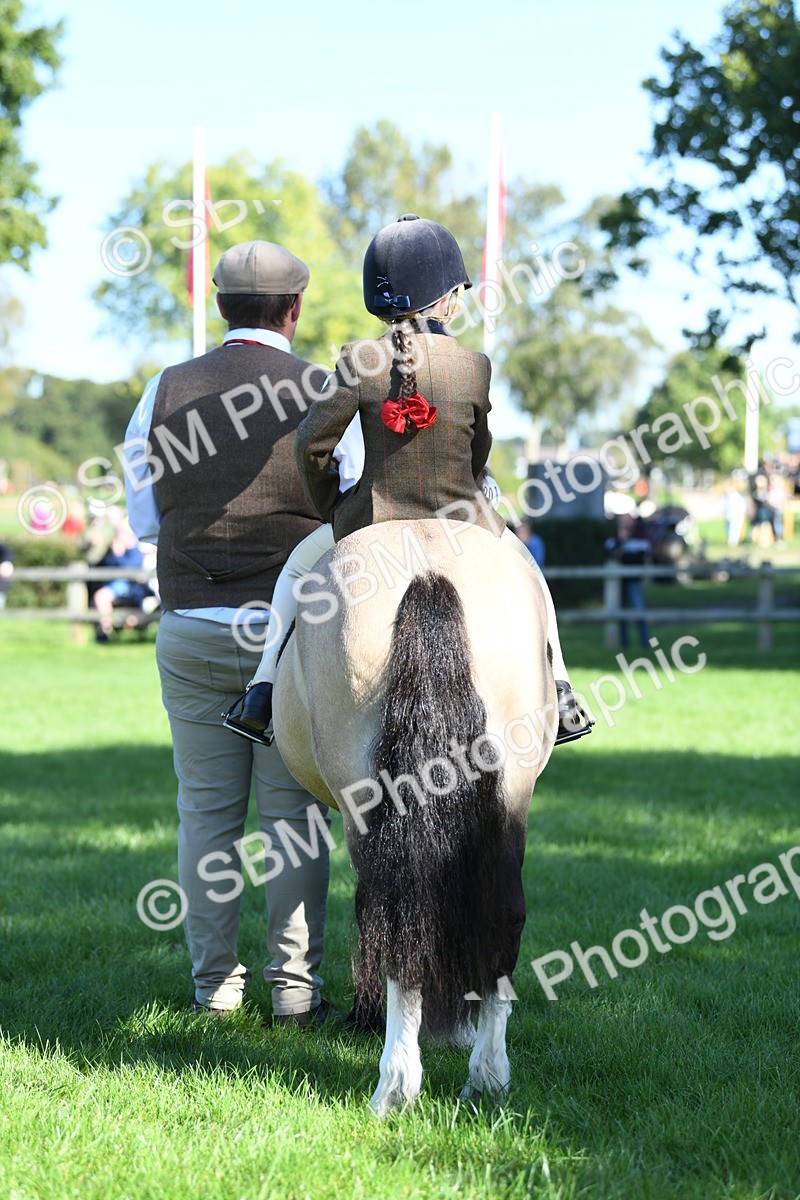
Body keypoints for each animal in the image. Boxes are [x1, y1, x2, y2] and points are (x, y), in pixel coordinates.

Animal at [272, 517, 556, 1116]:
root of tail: (428, 569)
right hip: (511, 799)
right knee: (500, 915)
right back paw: (487, 1078)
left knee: (390, 918)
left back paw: (397, 1084)